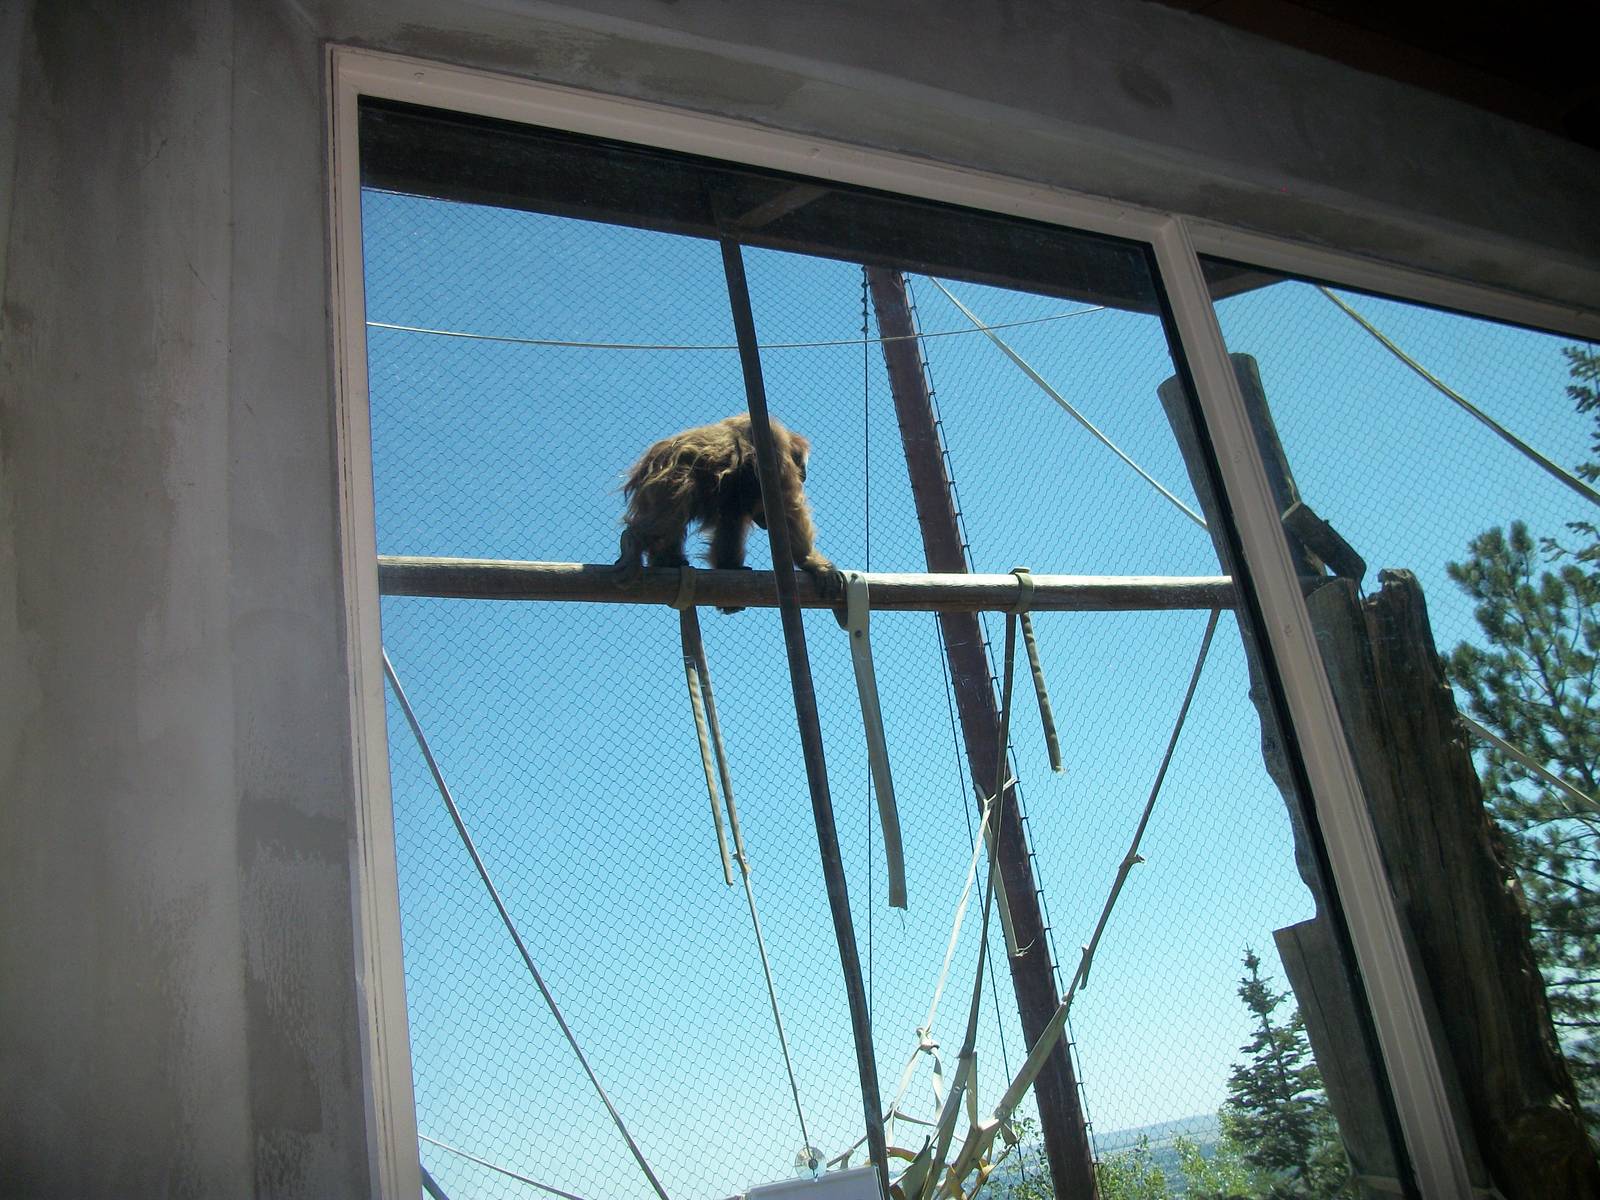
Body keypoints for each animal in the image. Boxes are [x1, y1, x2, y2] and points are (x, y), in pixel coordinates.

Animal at [613, 414, 844, 612]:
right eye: (801, 471)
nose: (803, 475)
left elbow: (731, 517)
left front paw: (728, 566)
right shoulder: (774, 447)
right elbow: (788, 508)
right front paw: (813, 562)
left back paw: (667, 560)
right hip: (671, 477)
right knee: (672, 511)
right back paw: (633, 541)